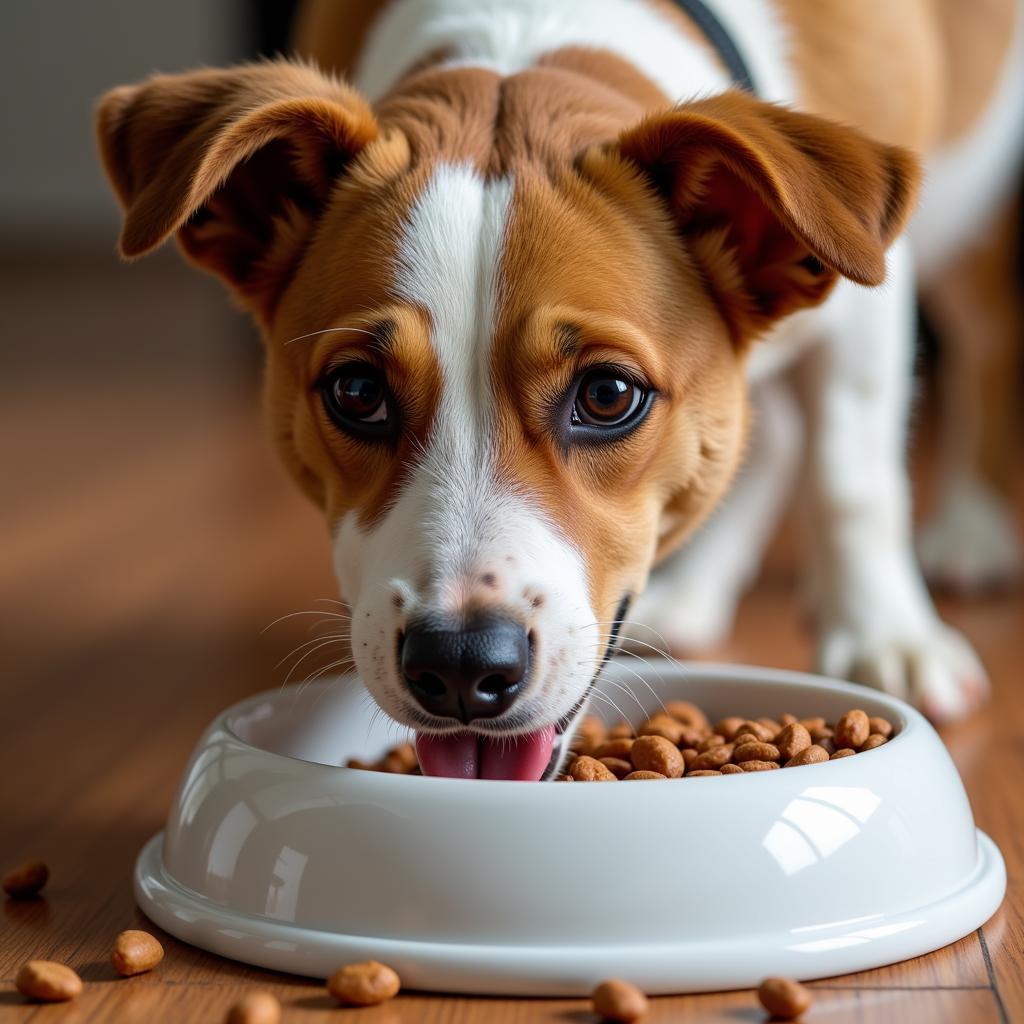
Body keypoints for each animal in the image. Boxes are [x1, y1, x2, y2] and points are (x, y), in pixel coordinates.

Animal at [94, 0, 1015, 774]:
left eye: (608, 396)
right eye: (356, 392)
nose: (460, 667)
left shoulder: (871, 302)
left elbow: (852, 483)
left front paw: (887, 639)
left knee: (983, 341)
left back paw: (970, 531)